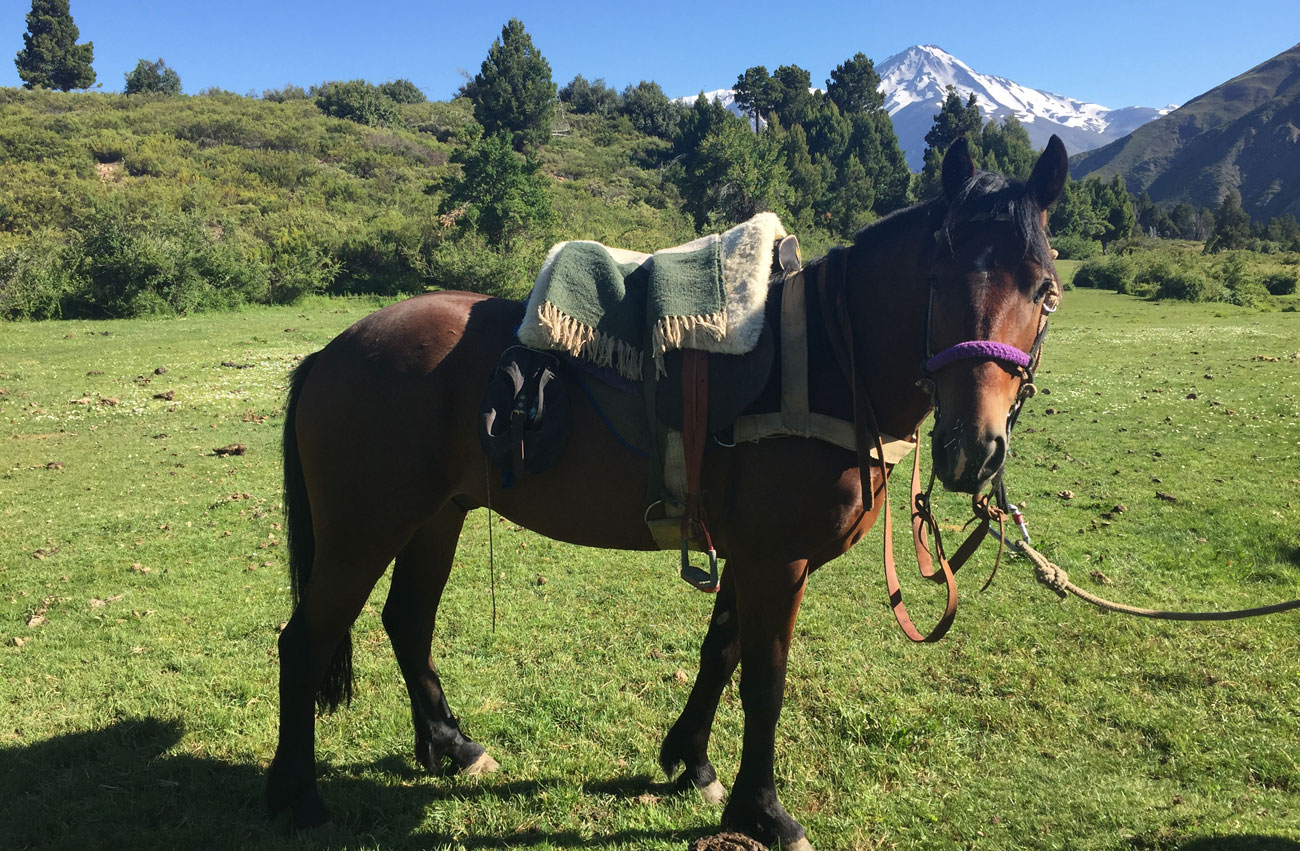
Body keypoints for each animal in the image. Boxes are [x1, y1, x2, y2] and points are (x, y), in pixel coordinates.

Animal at [261, 136, 1066, 847]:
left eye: (1044, 290)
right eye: (936, 281)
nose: (972, 448)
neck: (826, 362)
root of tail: (333, 351)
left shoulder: (749, 557)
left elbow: (722, 652)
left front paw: (693, 762)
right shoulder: (778, 562)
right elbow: (764, 681)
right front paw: (764, 810)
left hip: (435, 518)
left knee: (407, 622)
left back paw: (451, 744)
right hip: (363, 532)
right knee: (303, 641)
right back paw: (298, 796)